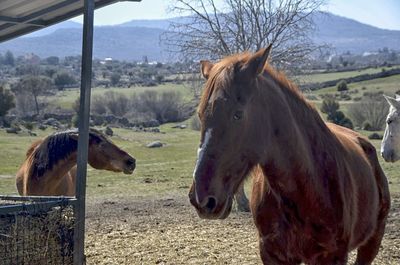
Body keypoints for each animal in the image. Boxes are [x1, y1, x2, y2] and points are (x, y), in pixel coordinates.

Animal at [190, 46, 390, 262]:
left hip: (372, 242)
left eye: (238, 114)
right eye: (200, 115)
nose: (201, 198)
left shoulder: (332, 256)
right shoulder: (272, 254)